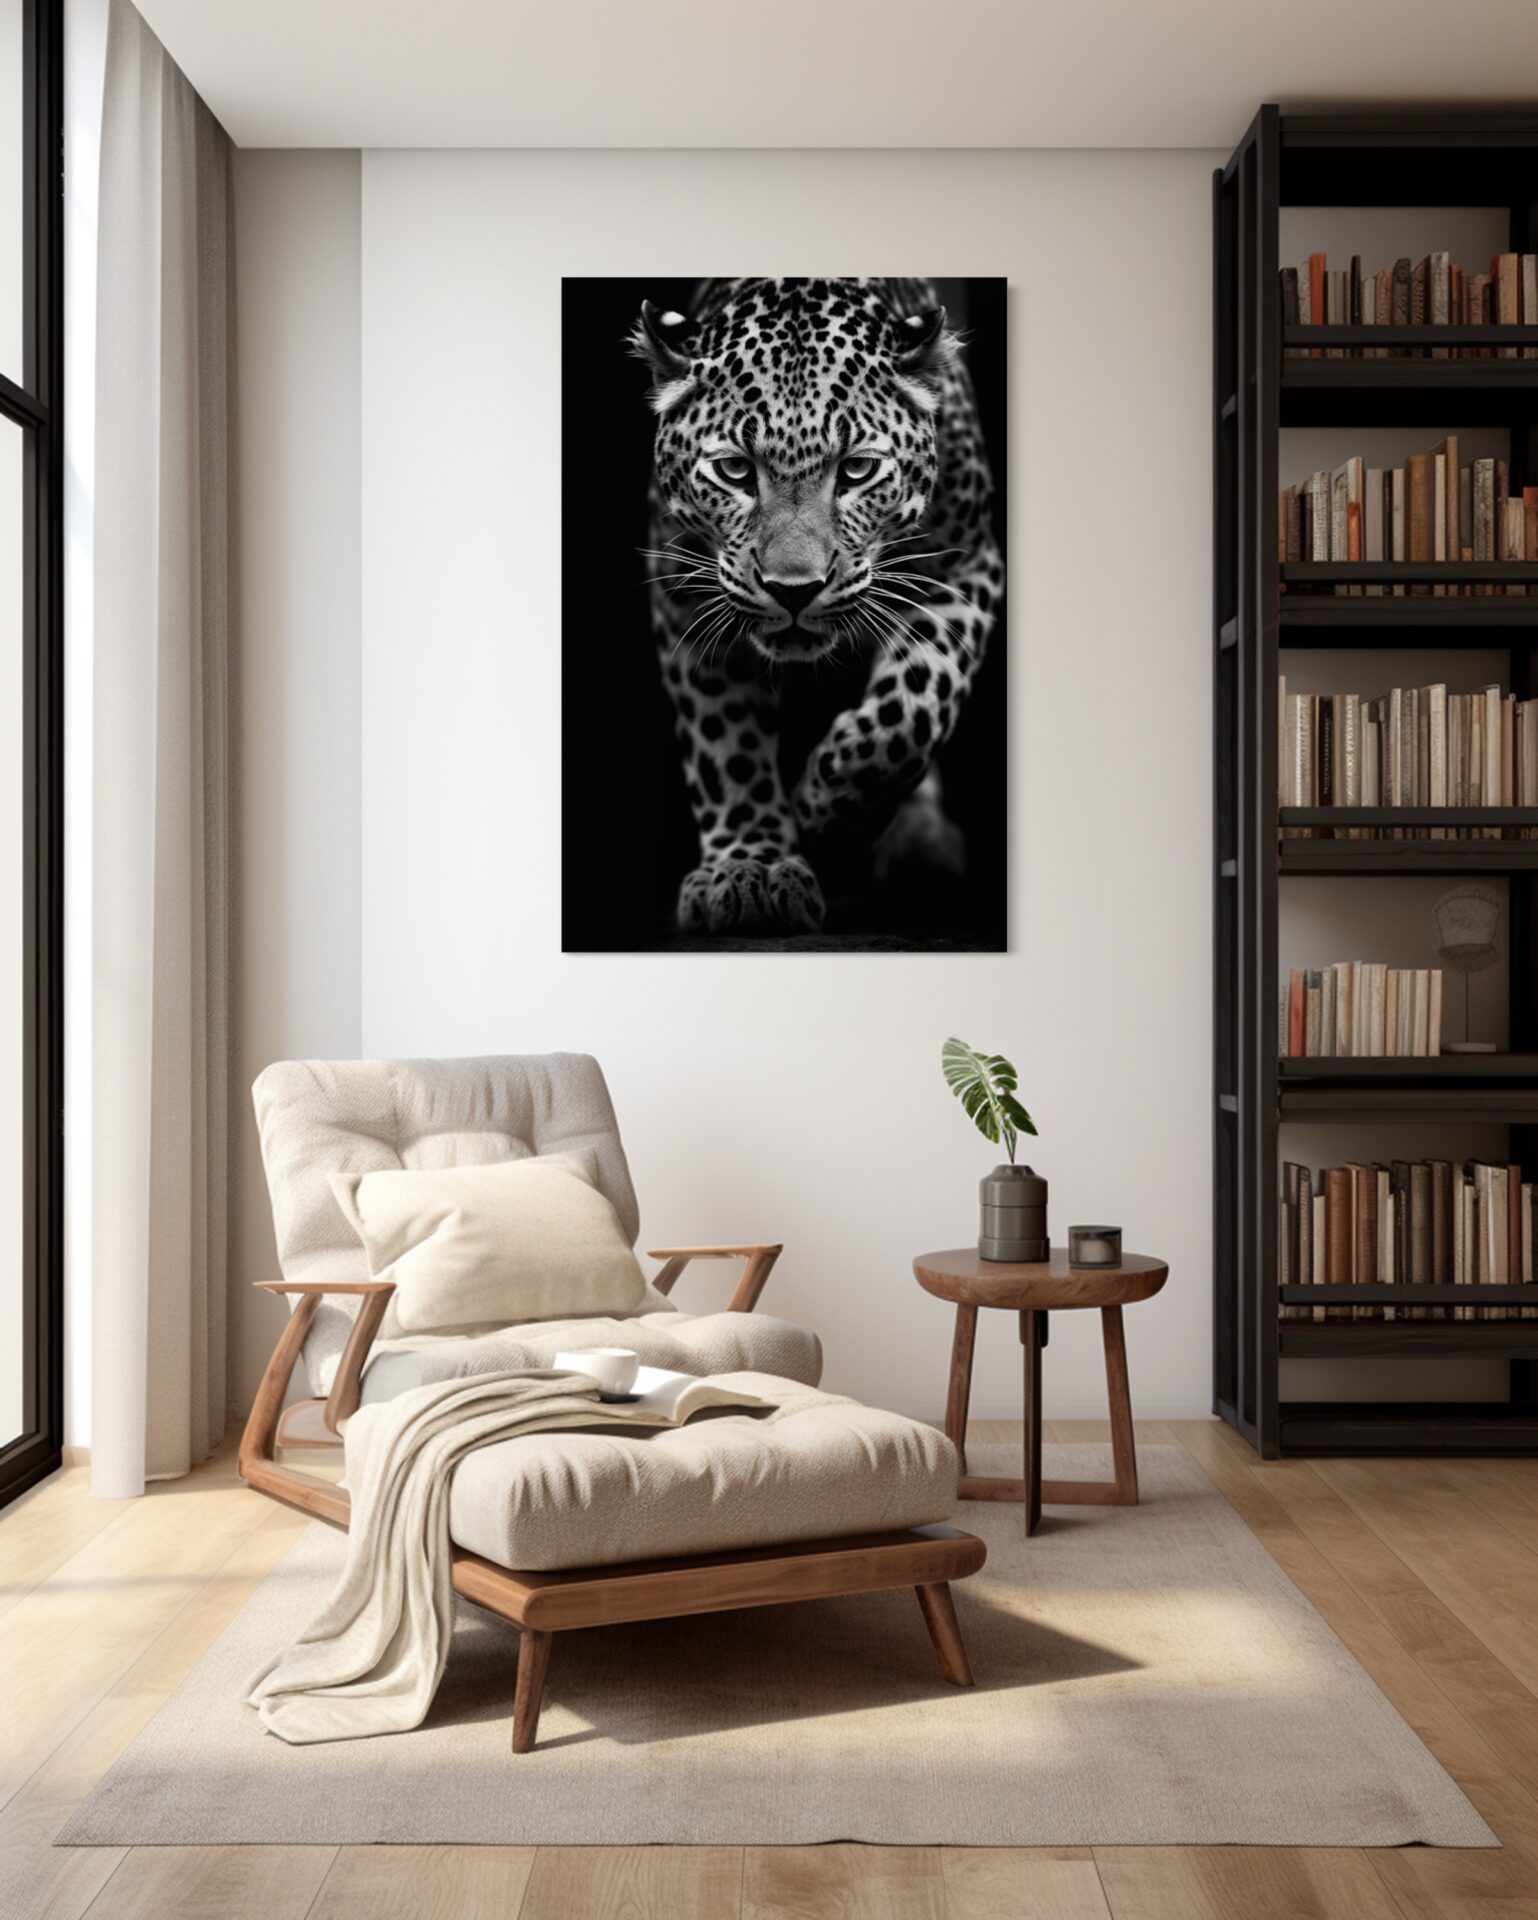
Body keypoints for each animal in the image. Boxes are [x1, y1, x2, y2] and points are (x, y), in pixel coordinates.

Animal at [630, 277, 1004, 937]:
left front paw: (828, 811)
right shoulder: (685, 598)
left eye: (857, 469)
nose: (794, 588)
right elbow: (726, 743)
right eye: (735, 470)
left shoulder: (968, 566)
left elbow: (912, 708)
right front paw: (749, 867)